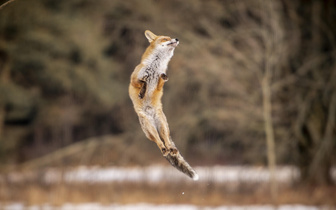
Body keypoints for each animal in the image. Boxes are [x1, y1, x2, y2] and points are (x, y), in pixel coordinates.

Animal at [128, 29, 197, 180]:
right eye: (165, 38)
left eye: (170, 37)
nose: (176, 39)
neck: (155, 67)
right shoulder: (134, 79)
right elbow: (143, 82)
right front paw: (142, 92)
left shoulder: (159, 86)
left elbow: (160, 81)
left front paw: (162, 78)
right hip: (150, 129)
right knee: (159, 142)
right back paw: (164, 149)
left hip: (163, 126)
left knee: (166, 140)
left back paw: (171, 149)